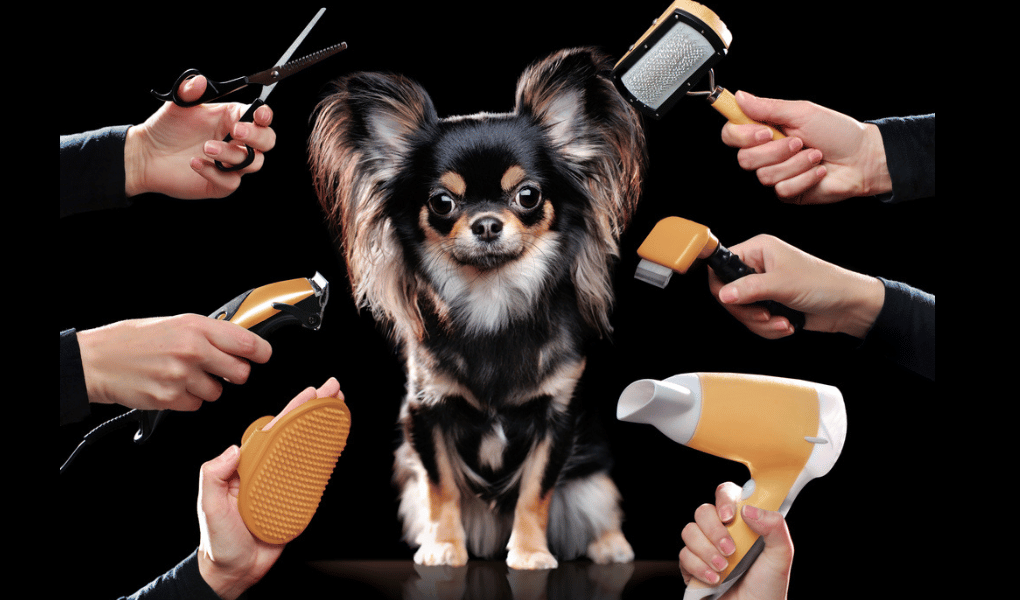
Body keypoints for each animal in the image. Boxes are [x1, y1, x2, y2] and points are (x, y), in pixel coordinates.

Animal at [306, 46, 648, 567]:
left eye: (527, 195)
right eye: (442, 202)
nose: (486, 223)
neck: (492, 300)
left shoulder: (557, 420)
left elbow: (535, 492)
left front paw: (529, 554)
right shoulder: (426, 412)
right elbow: (442, 487)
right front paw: (445, 546)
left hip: (592, 477)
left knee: (594, 504)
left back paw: (610, 544)